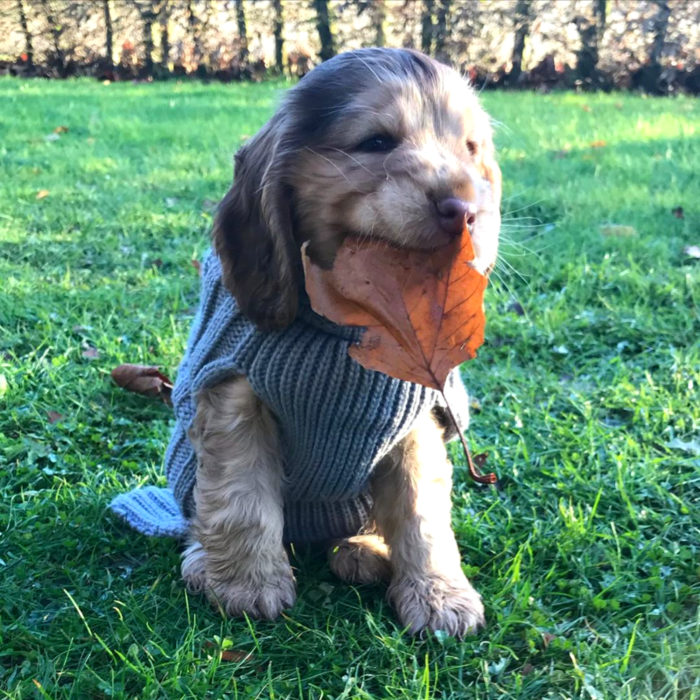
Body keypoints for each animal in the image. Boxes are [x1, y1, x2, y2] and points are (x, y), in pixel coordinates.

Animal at [176, 47, 504, 640]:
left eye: (471, 149)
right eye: (376, 141)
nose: (466, 210)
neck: (349, 321)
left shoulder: (418, 427)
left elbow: (422, 516)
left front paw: (440, 596)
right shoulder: (235, 400)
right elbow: (240, 497)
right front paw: (247, 585)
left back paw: (364, 548)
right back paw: (201, 560)